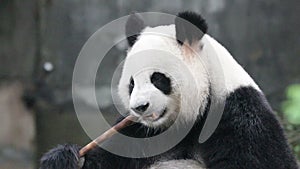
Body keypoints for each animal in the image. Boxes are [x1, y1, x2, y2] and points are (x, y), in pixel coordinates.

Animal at [39, 11, 298, 168]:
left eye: (158, 79)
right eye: (131, 83)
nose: (140, 107)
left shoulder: (240, 117)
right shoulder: (137, 132)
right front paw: (63, 158)